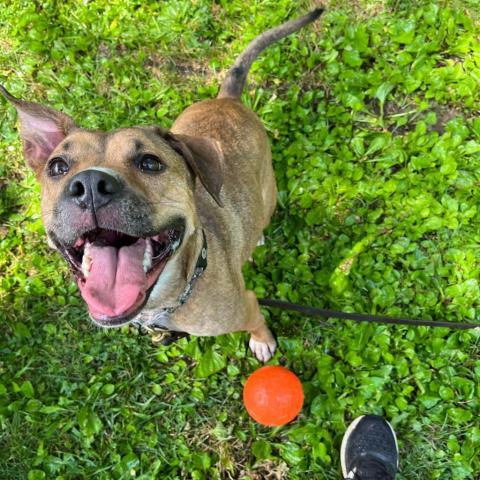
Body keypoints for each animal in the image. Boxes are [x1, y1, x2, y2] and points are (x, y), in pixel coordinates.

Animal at [0, 8, 322, 360]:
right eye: (58, 166)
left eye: (150, 163)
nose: (90, 185)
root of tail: (228, 99)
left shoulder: (248, 304)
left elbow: (258, 323)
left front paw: (262, 341)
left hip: (268, 190)